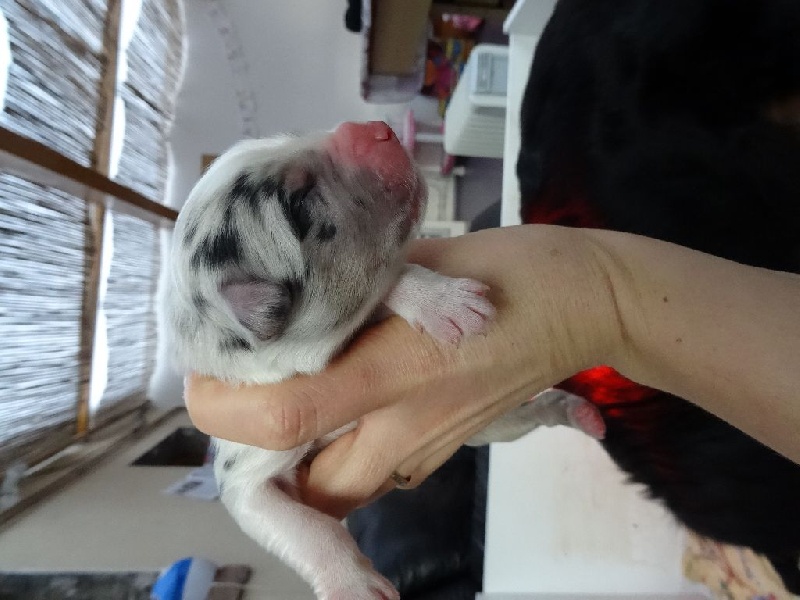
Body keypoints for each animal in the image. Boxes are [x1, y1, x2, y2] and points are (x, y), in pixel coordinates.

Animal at [165, 121, 605, 599]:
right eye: (299, 201)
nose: (371, 126)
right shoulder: (247, 470)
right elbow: (305, 527)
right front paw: (354, 585)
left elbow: (393, 278)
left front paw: (446, 303)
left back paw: (578, 409)